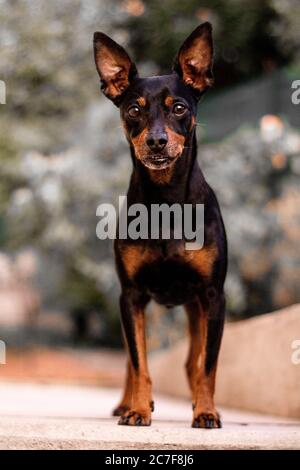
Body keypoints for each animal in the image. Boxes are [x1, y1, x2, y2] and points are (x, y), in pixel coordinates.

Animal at [94, 23, 227, 430]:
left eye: (179, 108)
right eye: (133, 109)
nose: (156, 140)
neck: (166, 202)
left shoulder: (213, 296)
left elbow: (208, 365)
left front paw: (206, 412)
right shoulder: (132, 295)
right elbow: (140, 364)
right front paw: (138, 409)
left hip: (196, 308)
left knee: (192, 361)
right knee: (131, 359)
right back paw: (128, 403)